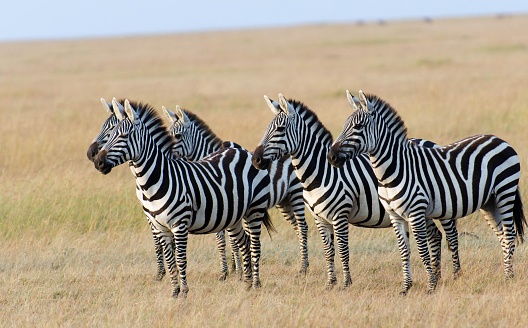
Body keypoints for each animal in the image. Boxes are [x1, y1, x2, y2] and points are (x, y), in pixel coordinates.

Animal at [92, 98, 272, 296]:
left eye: (123, 136)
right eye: (110, 132)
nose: (97, 161)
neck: (155, 180)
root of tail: (243, 152)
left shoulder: (179, 224)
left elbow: (180, 259)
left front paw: (184, 291)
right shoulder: (158, 225)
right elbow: (169, 258)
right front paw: (174, 291)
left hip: (254, 210)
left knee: (254, 245)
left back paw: (255, 283)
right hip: (233, 216)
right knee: (243, 243)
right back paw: (247, 283)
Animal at [162, 106, 310, 276]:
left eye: (177, 136)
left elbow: (227, 241)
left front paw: (232, 271)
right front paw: (236, 268)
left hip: (296, 194)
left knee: (303, 227)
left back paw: (303, 267)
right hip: (285, 201)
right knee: (297, 227)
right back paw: (303, 263)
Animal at [252, 93, 462, 290]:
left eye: (280, 129)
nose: (256, 160)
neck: (320, 173)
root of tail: (432, 143)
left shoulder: (340, 215)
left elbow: (343, 250)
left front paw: (346, 284)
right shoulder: (320, 218)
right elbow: (328, 251)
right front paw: (330, 284)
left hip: (443, 206)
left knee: (451, 234)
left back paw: (455, 275)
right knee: (435, 235)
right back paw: (438, 276)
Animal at [328, 89, 524, 294]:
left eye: (358, 126)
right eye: (344, 126)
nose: (331, 156)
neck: (391, 171)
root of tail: (499, 139)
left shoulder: (415, 213)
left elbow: (422, 250)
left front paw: (431, 286)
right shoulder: (395, 215)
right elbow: (404, 250)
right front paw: (406, 287)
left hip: (505, 192)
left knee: (509, 234)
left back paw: (508, 277)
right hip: (489, 202)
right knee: (502, 235)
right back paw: (507, 273)